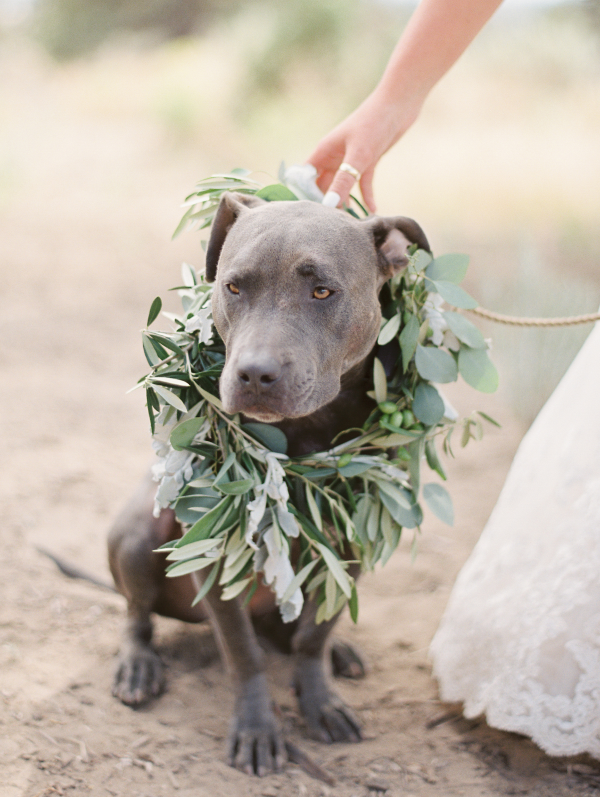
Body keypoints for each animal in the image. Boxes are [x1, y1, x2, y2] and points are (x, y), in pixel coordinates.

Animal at [106, 191, 426, 772]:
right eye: (233, 287)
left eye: (322, 291)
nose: (254, 374)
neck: (304, 433)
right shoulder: (218, 555)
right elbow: (243, 654)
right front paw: (257, 728)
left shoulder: (352, 539)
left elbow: (313, 637)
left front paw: (320, 699)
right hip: (140, 534)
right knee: (137, 615)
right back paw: (137, 665)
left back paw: (339, 651)